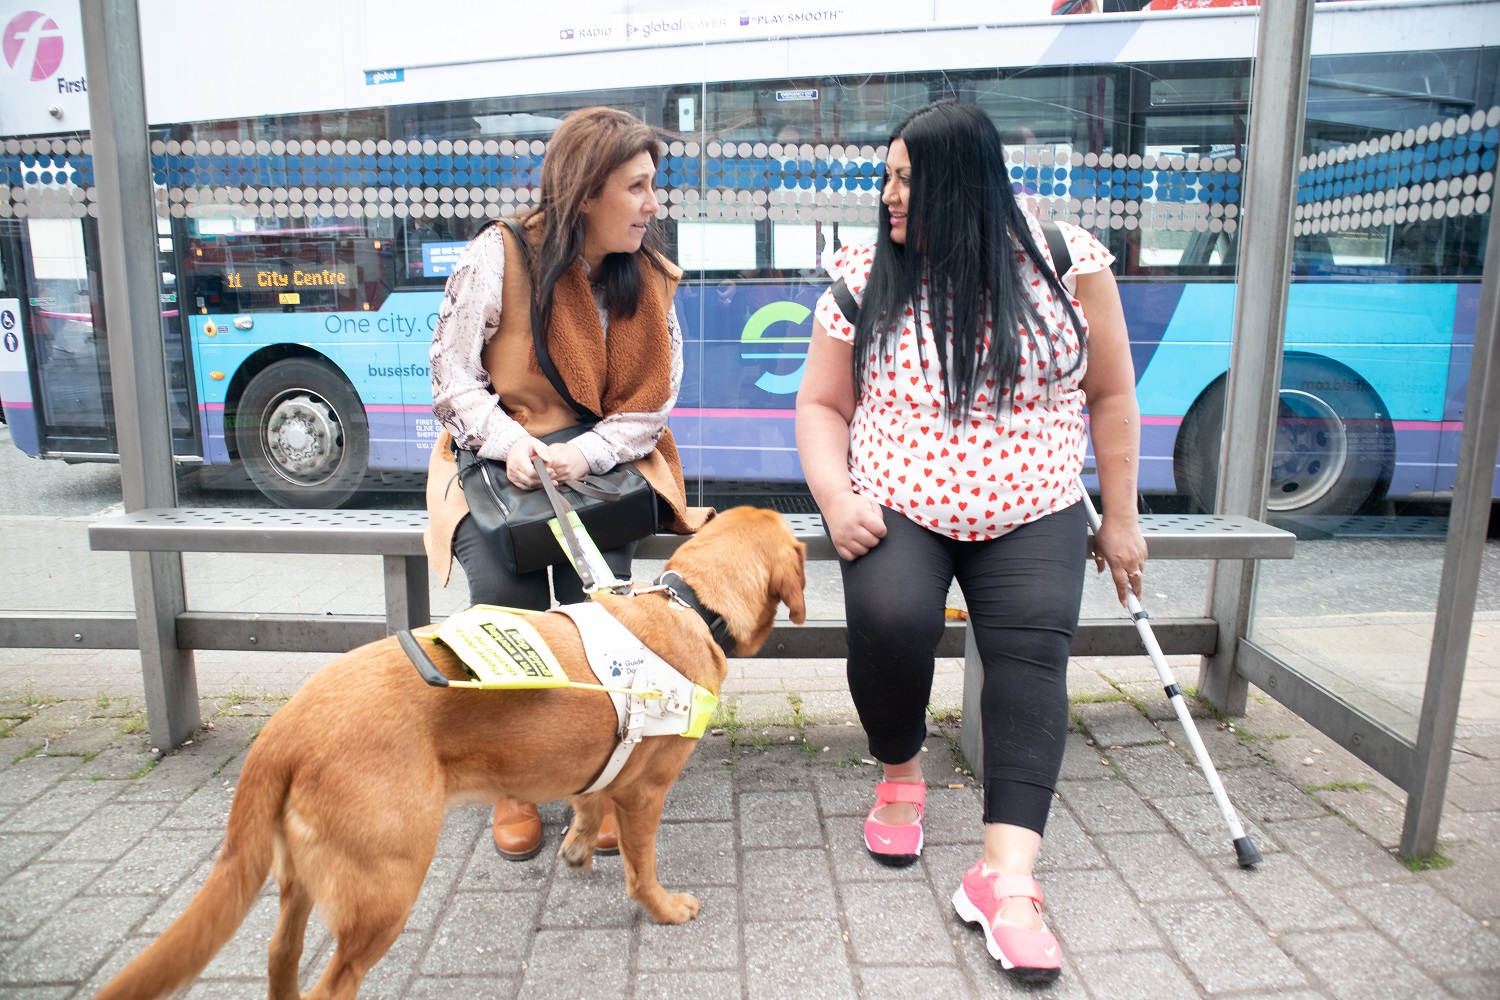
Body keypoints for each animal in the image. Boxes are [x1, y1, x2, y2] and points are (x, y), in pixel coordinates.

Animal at [96, 509, 810, 1000]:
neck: (692, 603)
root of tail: (288, 727)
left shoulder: (594, 770)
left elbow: (584, 809)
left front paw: (578, 849)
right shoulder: (644, 793)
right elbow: (641, 871)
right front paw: (663, 908)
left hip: (298, 884)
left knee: (279, 958)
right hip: (386, 886)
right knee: (332, 983)